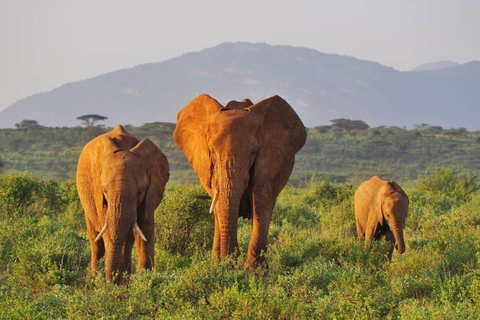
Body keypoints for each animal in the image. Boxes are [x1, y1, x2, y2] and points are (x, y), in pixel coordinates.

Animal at [76, 125, 169, 282]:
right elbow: (108, 232)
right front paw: (116, 283)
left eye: (140, 192)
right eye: (105, 190)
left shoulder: (150, 194)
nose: (110, 281)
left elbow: (145, 230)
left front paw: (144, 282)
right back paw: (96, 279)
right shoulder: (100, 196)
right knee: (96, 243)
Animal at [174, 94, 306, 268]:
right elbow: (220, 207)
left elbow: (261, 205)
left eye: (253, 152)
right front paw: (224, 268)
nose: (234, 259)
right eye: (212, 151)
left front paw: (253, 272)